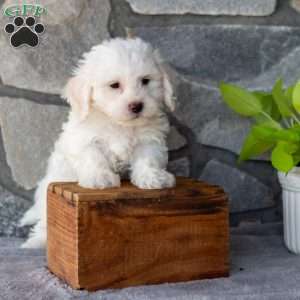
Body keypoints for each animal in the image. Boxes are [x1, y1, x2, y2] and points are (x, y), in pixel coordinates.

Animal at [19, 37, 176, 248]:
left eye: (145, 81)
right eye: (114, 85)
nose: (136, 106)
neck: (117, 123)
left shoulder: (149, 138)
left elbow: (147, 158)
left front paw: (153, 177)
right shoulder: (84, 138)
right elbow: (93, 156)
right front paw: (100, 178)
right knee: (45, 221)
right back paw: (37, 241)